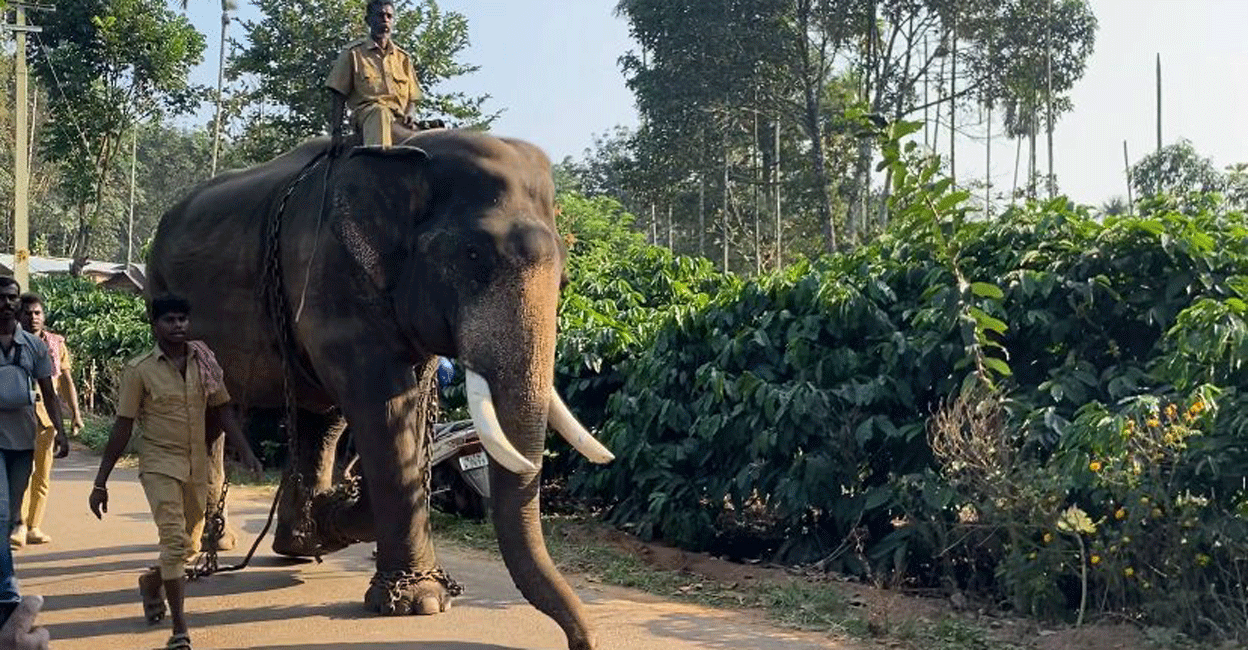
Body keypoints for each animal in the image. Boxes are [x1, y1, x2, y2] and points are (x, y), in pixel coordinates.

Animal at [147, 129, 615, 650]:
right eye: (473, 257)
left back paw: (290, 543)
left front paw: (329, 521)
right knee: (210, 411)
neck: (407, 150)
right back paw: (207, 547)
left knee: (317, 415)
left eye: (566, 276)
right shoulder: (332, 276)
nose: (583, 643)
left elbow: (408, 405)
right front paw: (420, 601)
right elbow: (386, 408)